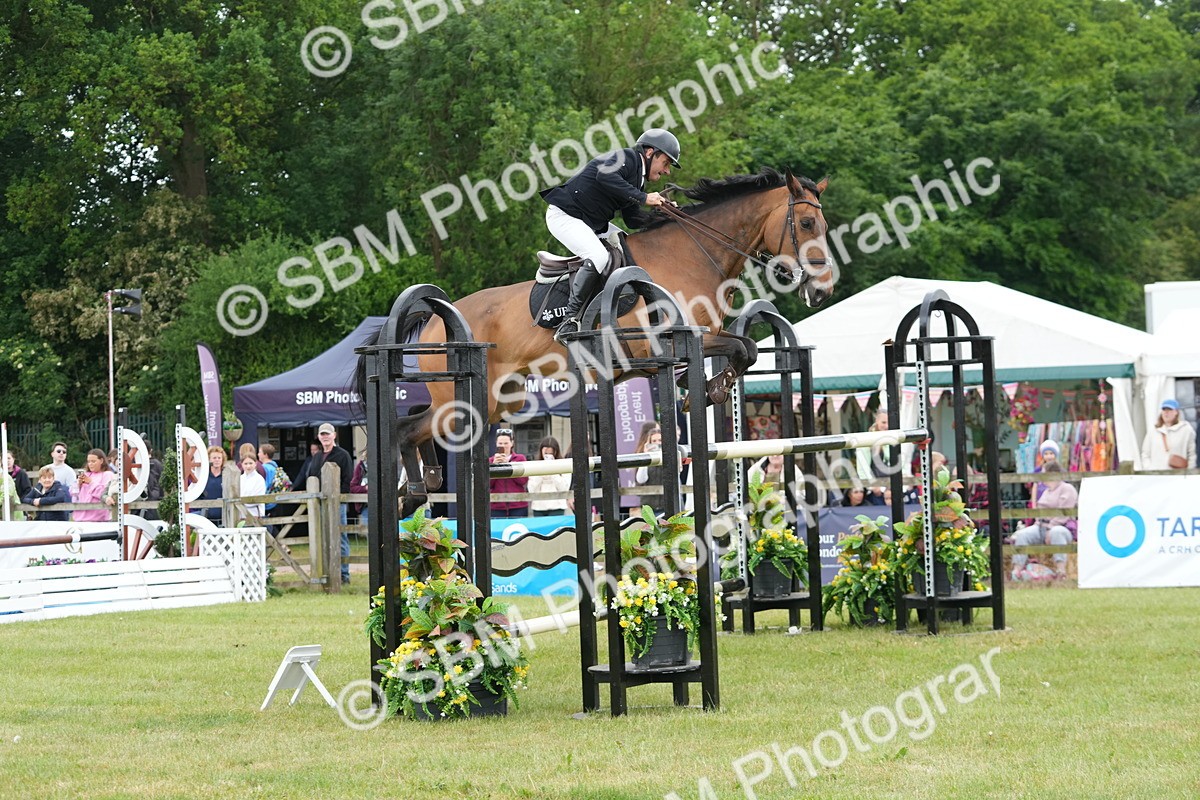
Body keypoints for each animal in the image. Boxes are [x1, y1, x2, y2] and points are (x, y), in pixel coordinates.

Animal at [371, 168, 835, 506]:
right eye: (806, 222)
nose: (822, 291)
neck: (690, 255)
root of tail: (439, 318)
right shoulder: (670, 341)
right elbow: (743, 347)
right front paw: (706, 390)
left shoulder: (703, 337)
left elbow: (747, 348)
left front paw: (705, 389)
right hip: (470, 400)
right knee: (409, 429)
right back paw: (415, 490)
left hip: (501, 400)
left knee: (419, 426)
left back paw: (422, 484)